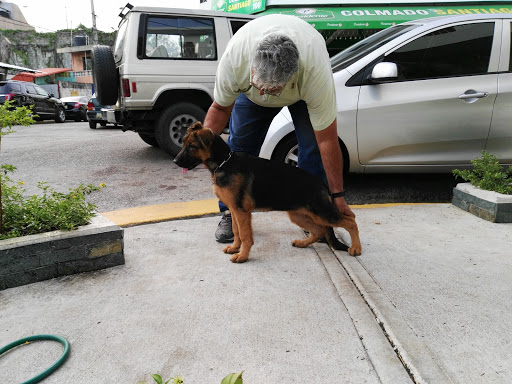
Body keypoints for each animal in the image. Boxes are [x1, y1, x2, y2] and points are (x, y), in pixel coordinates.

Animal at [174, 123, 362, 264]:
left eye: (191, 146)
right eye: (184, 144)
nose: (175, 161)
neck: (223, 163)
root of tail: (323, 184)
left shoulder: (241, 212)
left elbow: (245, 235)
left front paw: (242, 256)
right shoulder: (234, 211)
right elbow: (236, 231)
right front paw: (235, 248)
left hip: (321, 212)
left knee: (350, 221)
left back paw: (356, 248)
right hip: (298, 215)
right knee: (319, 231)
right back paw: (303, 243)